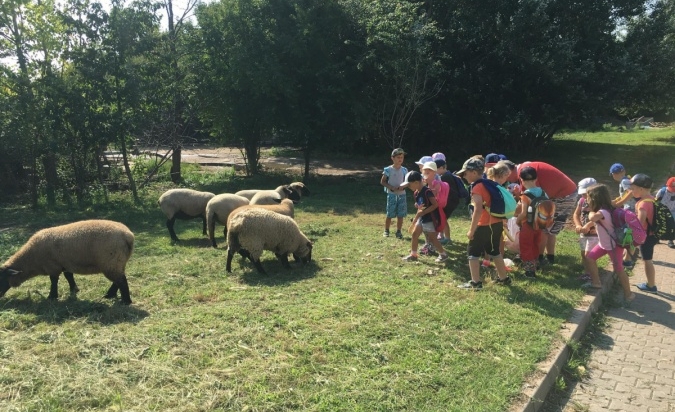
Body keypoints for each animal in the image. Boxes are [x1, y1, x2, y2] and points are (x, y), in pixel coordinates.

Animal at [0, 220, 137, 304]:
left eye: (2, 279)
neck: (32, 259)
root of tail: (128, 235)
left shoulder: (53, 266)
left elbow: (53, 281)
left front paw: (52, 296)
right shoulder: (65, 263)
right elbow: (69, 276)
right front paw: (74, 289)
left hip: (111, 260)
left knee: (121, 281)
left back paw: (125, 302)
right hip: (117, 261)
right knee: (118, 279)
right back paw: (110, 295)